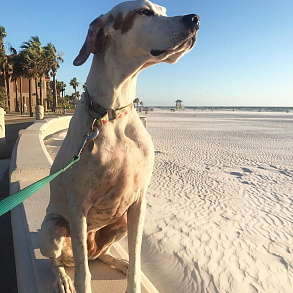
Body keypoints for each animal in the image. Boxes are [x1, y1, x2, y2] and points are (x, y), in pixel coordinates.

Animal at [38, 1, 198, 290]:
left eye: (164, 11)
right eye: (144, 11)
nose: (195, 19)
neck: (112, 113)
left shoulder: (138, 202)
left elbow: (136, 263)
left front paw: (131, 274)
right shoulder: (78, 205)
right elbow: (83, 275)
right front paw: (76, 281)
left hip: (119, 222)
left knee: (101, 255)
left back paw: (118, 262)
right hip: (51, 229)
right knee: (59, 261)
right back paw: (63, 279)